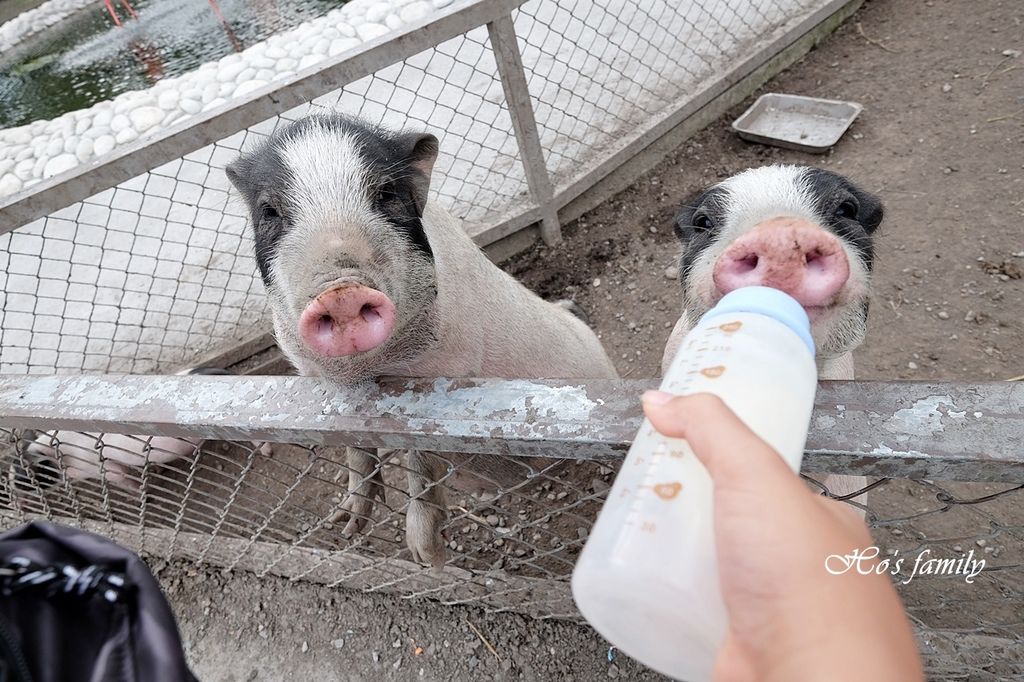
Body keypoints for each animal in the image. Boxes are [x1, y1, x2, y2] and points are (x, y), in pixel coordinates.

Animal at [9, 366, 272, 489]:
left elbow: (118, 476)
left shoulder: (93, 465)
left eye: (33, 470)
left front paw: (141, 491)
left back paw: (267, 452)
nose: (14, 485)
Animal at [227, 112, 618, 569]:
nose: (341, 291)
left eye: (385, 193)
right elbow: (356, 448)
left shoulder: (446, 376)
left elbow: (421, 456)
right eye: (269, 210)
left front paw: (426, 556)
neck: (368, 371)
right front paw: (345, 526)